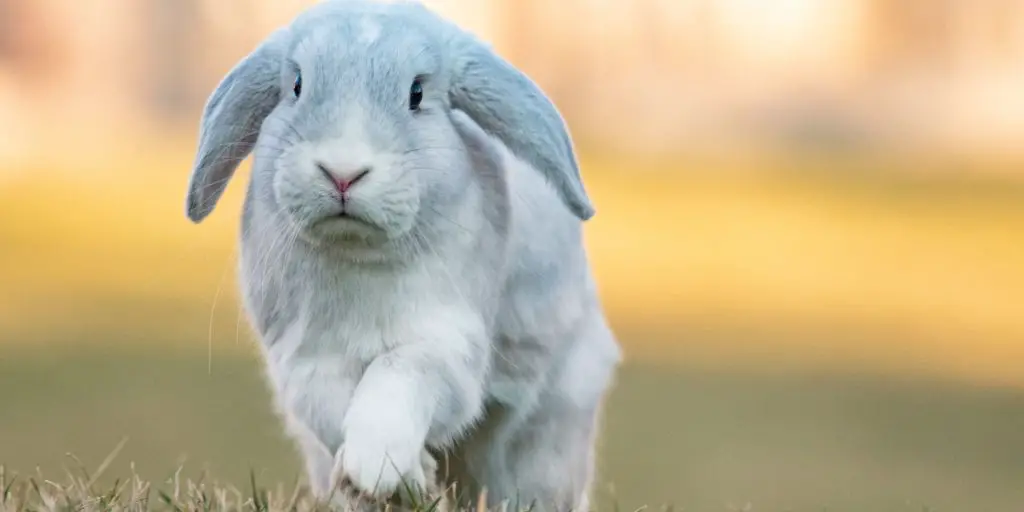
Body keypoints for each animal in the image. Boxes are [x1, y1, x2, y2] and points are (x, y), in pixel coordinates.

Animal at [182, 2, 622, 509]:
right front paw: (403, 478)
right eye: (296, 87)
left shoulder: (446, 345)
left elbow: (399, 375)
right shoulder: (307, 358)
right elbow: (331, 407)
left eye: (416, 93)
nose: (343, 172)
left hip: (549, 431)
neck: (358, 252)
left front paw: (381, 466)